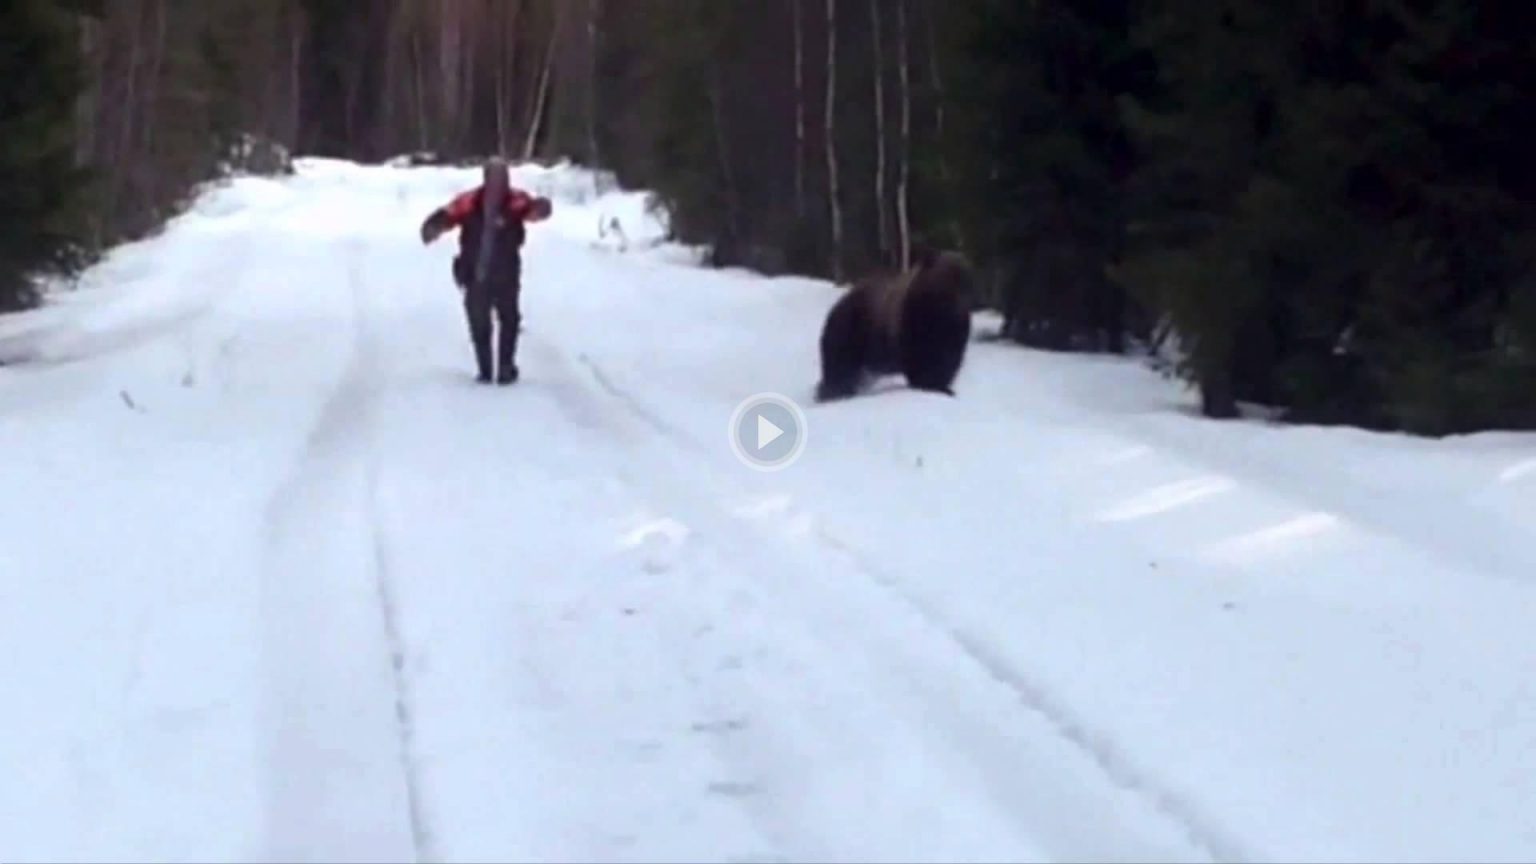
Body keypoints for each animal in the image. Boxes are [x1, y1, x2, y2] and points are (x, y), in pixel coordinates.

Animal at [817, 245, 970, 399]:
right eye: (948, 280)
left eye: (966, 280)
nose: (962, 303)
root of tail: (834, 308)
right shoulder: (912, 325)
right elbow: (922, 361)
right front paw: (928, 384)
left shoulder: (952, 332)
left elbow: (947, 361)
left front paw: (943, 387)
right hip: (850, 333)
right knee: (839, 368)